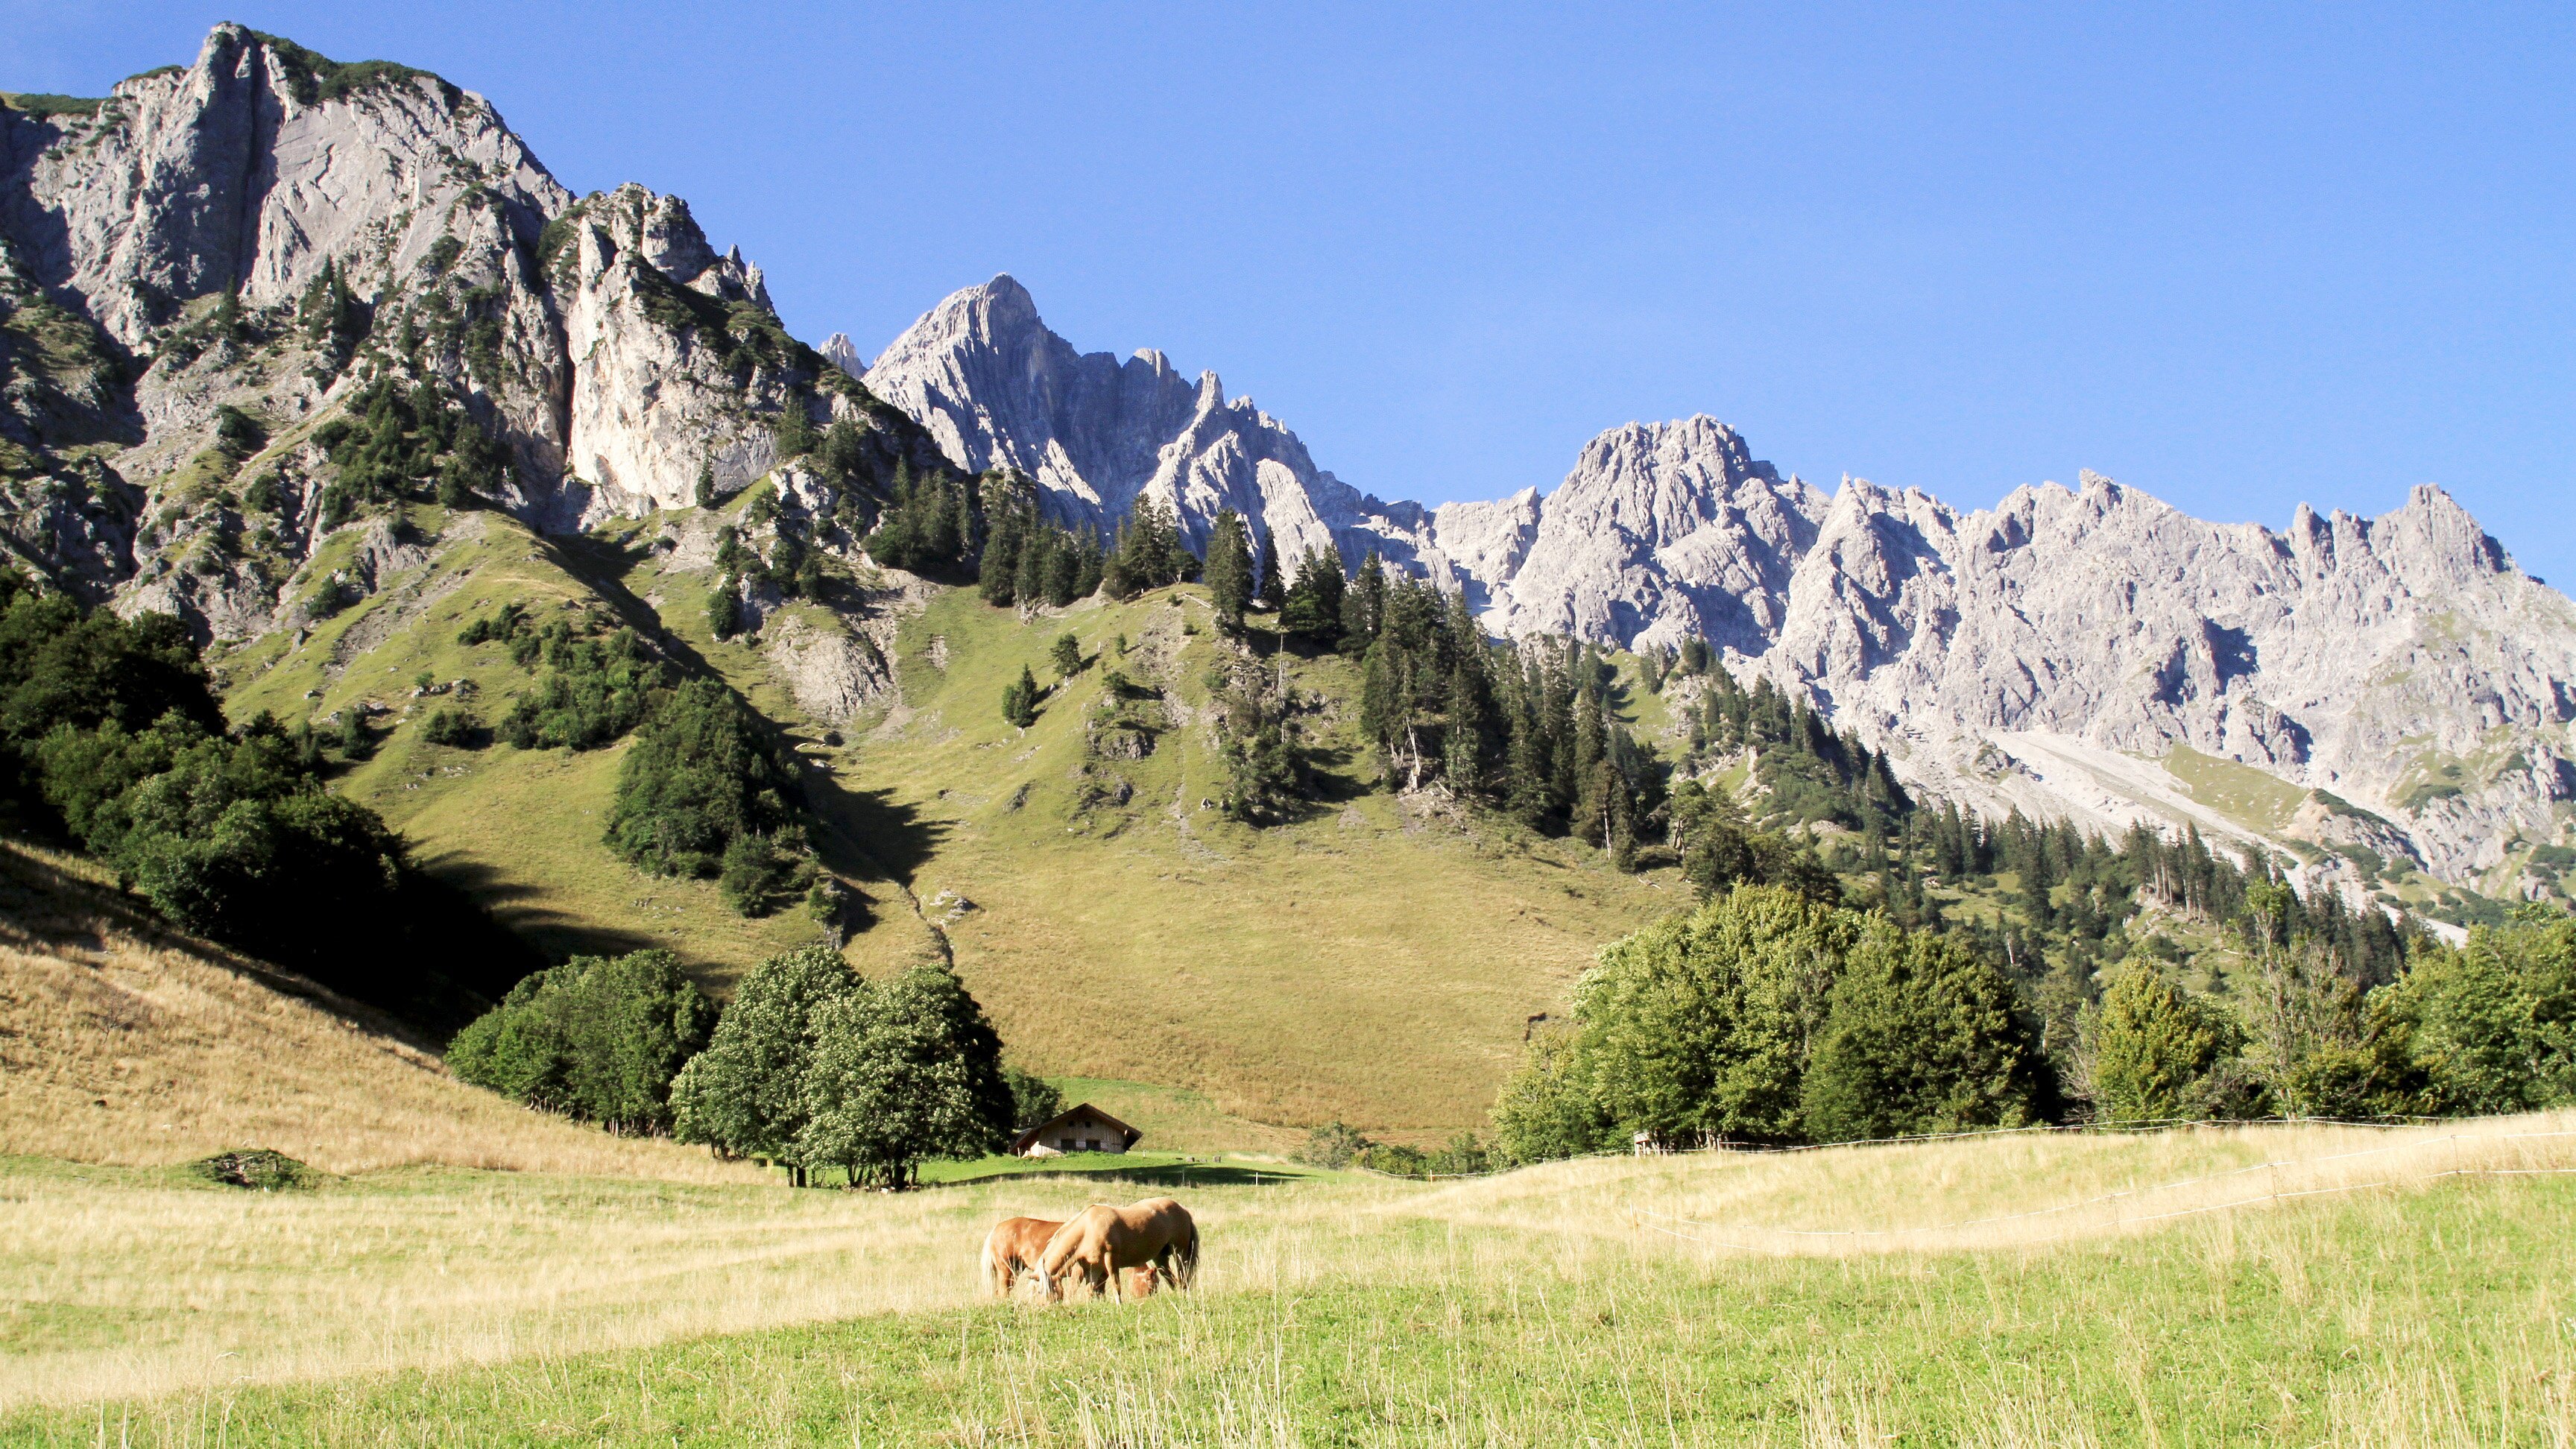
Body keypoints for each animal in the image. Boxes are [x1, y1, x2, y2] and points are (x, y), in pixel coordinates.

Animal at [1035, 1196, 1195, 1299]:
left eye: (1042, 1292)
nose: (1044, 1308)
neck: (1088, 1227)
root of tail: (1183, 1210)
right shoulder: (1093, 1267)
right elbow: (1089, 1290)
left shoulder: (1110, 1260)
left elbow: (1115, 1286)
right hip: (1160, 1258)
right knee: (1172, 1279)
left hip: (1180, 1253)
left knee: (1184, 1277)